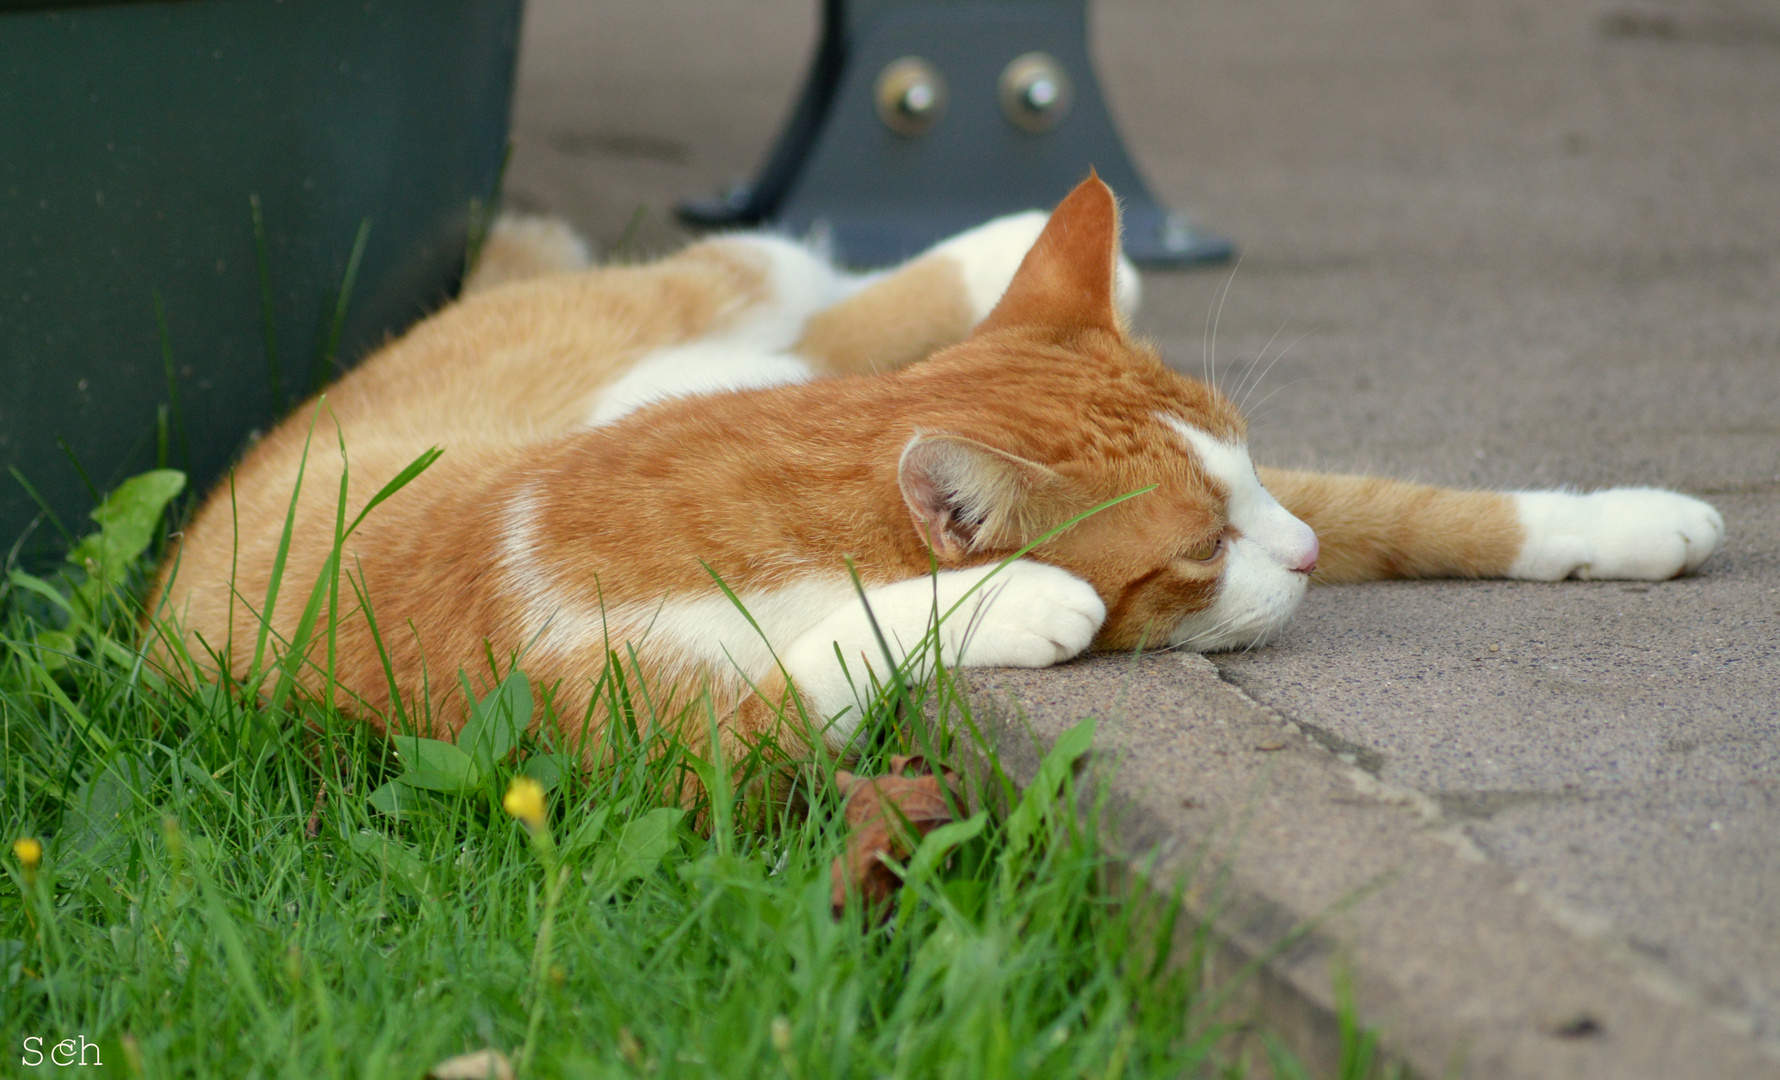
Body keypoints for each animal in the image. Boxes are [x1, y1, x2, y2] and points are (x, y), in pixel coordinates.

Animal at [156, 177, 1723, 765]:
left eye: (1247, 502)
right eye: (1199, 552)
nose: (1296, 562)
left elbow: (1403, 504)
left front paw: (1630, 521)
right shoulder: (678, 748)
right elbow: (829, 657)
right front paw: (1018, 604)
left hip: (706, 325)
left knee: (795, 288)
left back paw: (1010, 242)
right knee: (773, 282)